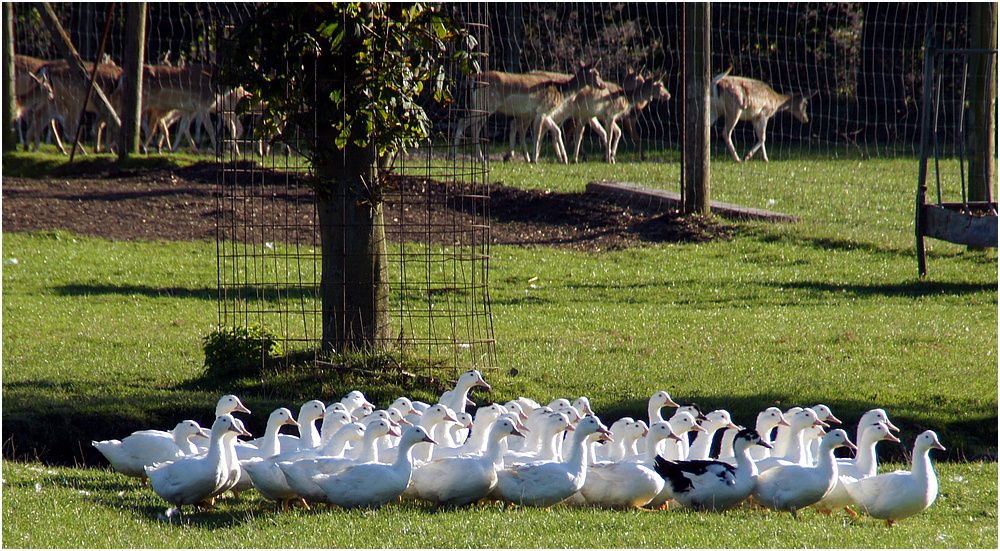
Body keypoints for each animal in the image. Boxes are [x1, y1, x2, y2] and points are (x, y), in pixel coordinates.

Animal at [456, 61, 608, 164]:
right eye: (596, 73)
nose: (603, 85)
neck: (561, 92)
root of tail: (474, 79)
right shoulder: (541, 110)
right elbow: (538, 134)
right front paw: (536, 159)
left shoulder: (543, 113)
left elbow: (553, 131)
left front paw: (562, 159)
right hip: (488, 105)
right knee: (463, 121)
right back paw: (454, 154)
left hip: (482, 106)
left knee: (473, 127)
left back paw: (480, 158)